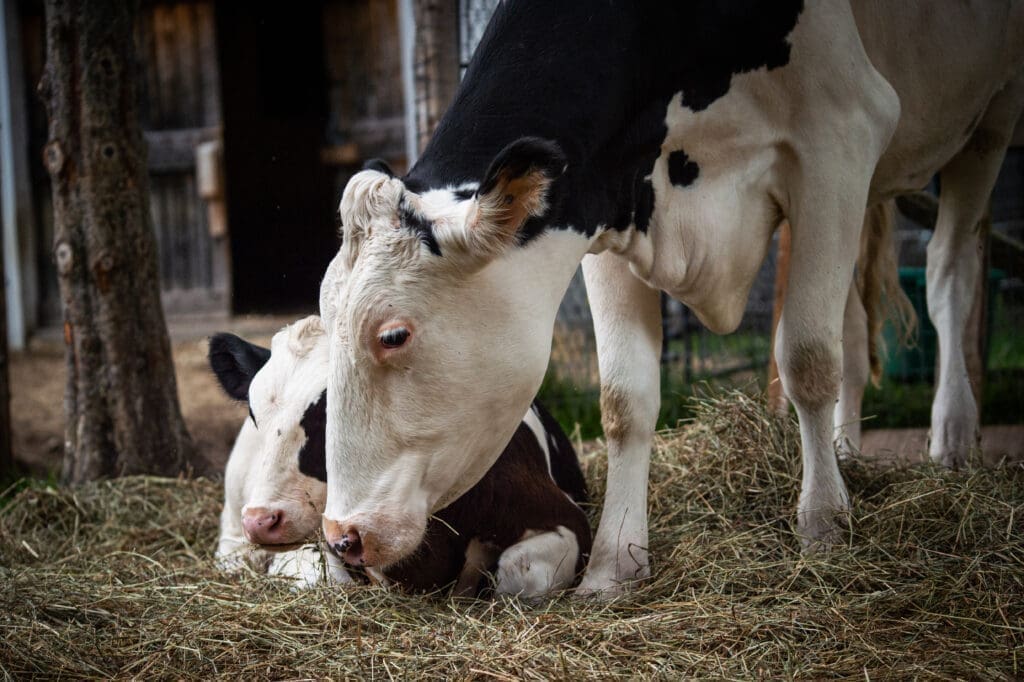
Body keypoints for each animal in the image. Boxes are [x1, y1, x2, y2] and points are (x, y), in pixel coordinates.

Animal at [315, 1, 1019, 589]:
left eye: (393, 335)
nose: (341, 537)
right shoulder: (604, 204)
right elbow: (625, 399)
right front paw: (612, 567)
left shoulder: (839, 136)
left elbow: (807, 359)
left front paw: (823, 529)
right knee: (850, 320)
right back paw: (848, 451)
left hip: (989, 119)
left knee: (949, 272)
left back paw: (952, 439)